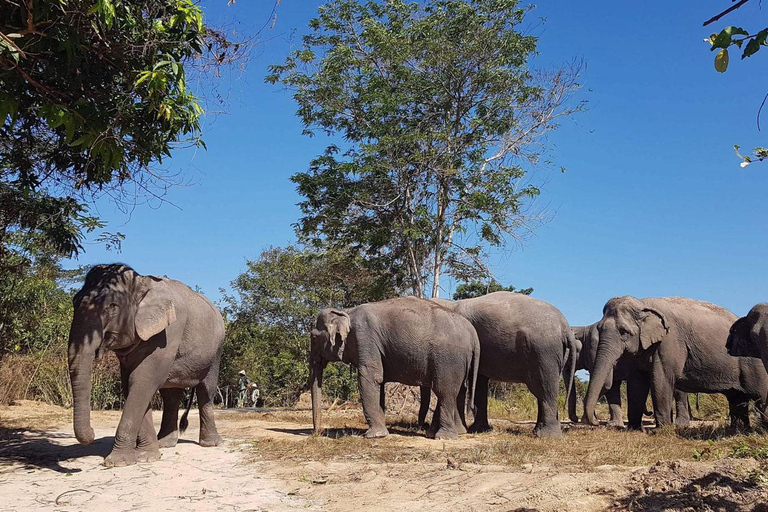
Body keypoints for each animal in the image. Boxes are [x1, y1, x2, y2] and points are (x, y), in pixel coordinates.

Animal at [68, 264, 226, 467]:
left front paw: (118, 462)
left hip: (216, 351)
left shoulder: (168, 332)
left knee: (206, 390)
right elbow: (132, 382)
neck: (142, 281)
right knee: (171, 395)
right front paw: (147, 456)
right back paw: (165, 443)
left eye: (112, 306)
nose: (93, 433)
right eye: (74, 302)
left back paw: (211, 443)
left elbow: (143, 379)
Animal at [309, 297, 480, 440]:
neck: (347, 311)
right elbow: (379, 383)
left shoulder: (364, 339)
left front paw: (373, 435)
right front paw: (381, 432)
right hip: (460, 361)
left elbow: (370, 378)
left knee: (444, 391)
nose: (318, 432)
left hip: (448, 359)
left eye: (313, 337)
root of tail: (473, 333)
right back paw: (444, 432)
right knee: (458, 389)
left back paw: (443, 437)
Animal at [430, 292, 578, 438]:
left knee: (545, 389)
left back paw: (546, 436)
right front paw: (479, 429)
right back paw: (538, 431)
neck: (449, 303)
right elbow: (480, 382)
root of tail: (565, 327)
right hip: (556, 355)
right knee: (543, 391)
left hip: (544, 353)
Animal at [584, 296, 768, 430]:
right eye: (599, 329)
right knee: (736, 398)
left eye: (624, 332)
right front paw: (633, 429)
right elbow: (637, 383)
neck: (643, 303)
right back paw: (738, 430)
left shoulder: (669, 342)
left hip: (754, 365)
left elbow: (661, 379)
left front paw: (661, 431)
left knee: (759, 395)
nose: (595, 422)